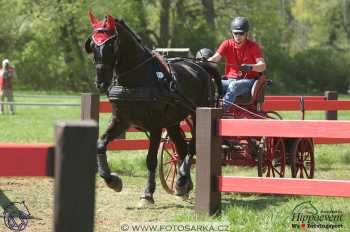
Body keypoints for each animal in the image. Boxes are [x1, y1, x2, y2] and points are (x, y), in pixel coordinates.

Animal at [84, 11, 219, 206]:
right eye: (93, 45)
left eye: (110, 44)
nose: (101, 82)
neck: (136, 79)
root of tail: (200, 66)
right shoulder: (121, 120)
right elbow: (100, 144)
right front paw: (113, 181)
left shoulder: (155, 125)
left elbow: (151, 160)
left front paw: (147, 194)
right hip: (173, 121)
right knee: (181, 148)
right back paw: (184, 185)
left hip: (198, 113)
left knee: (192, 146)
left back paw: (181, 180)